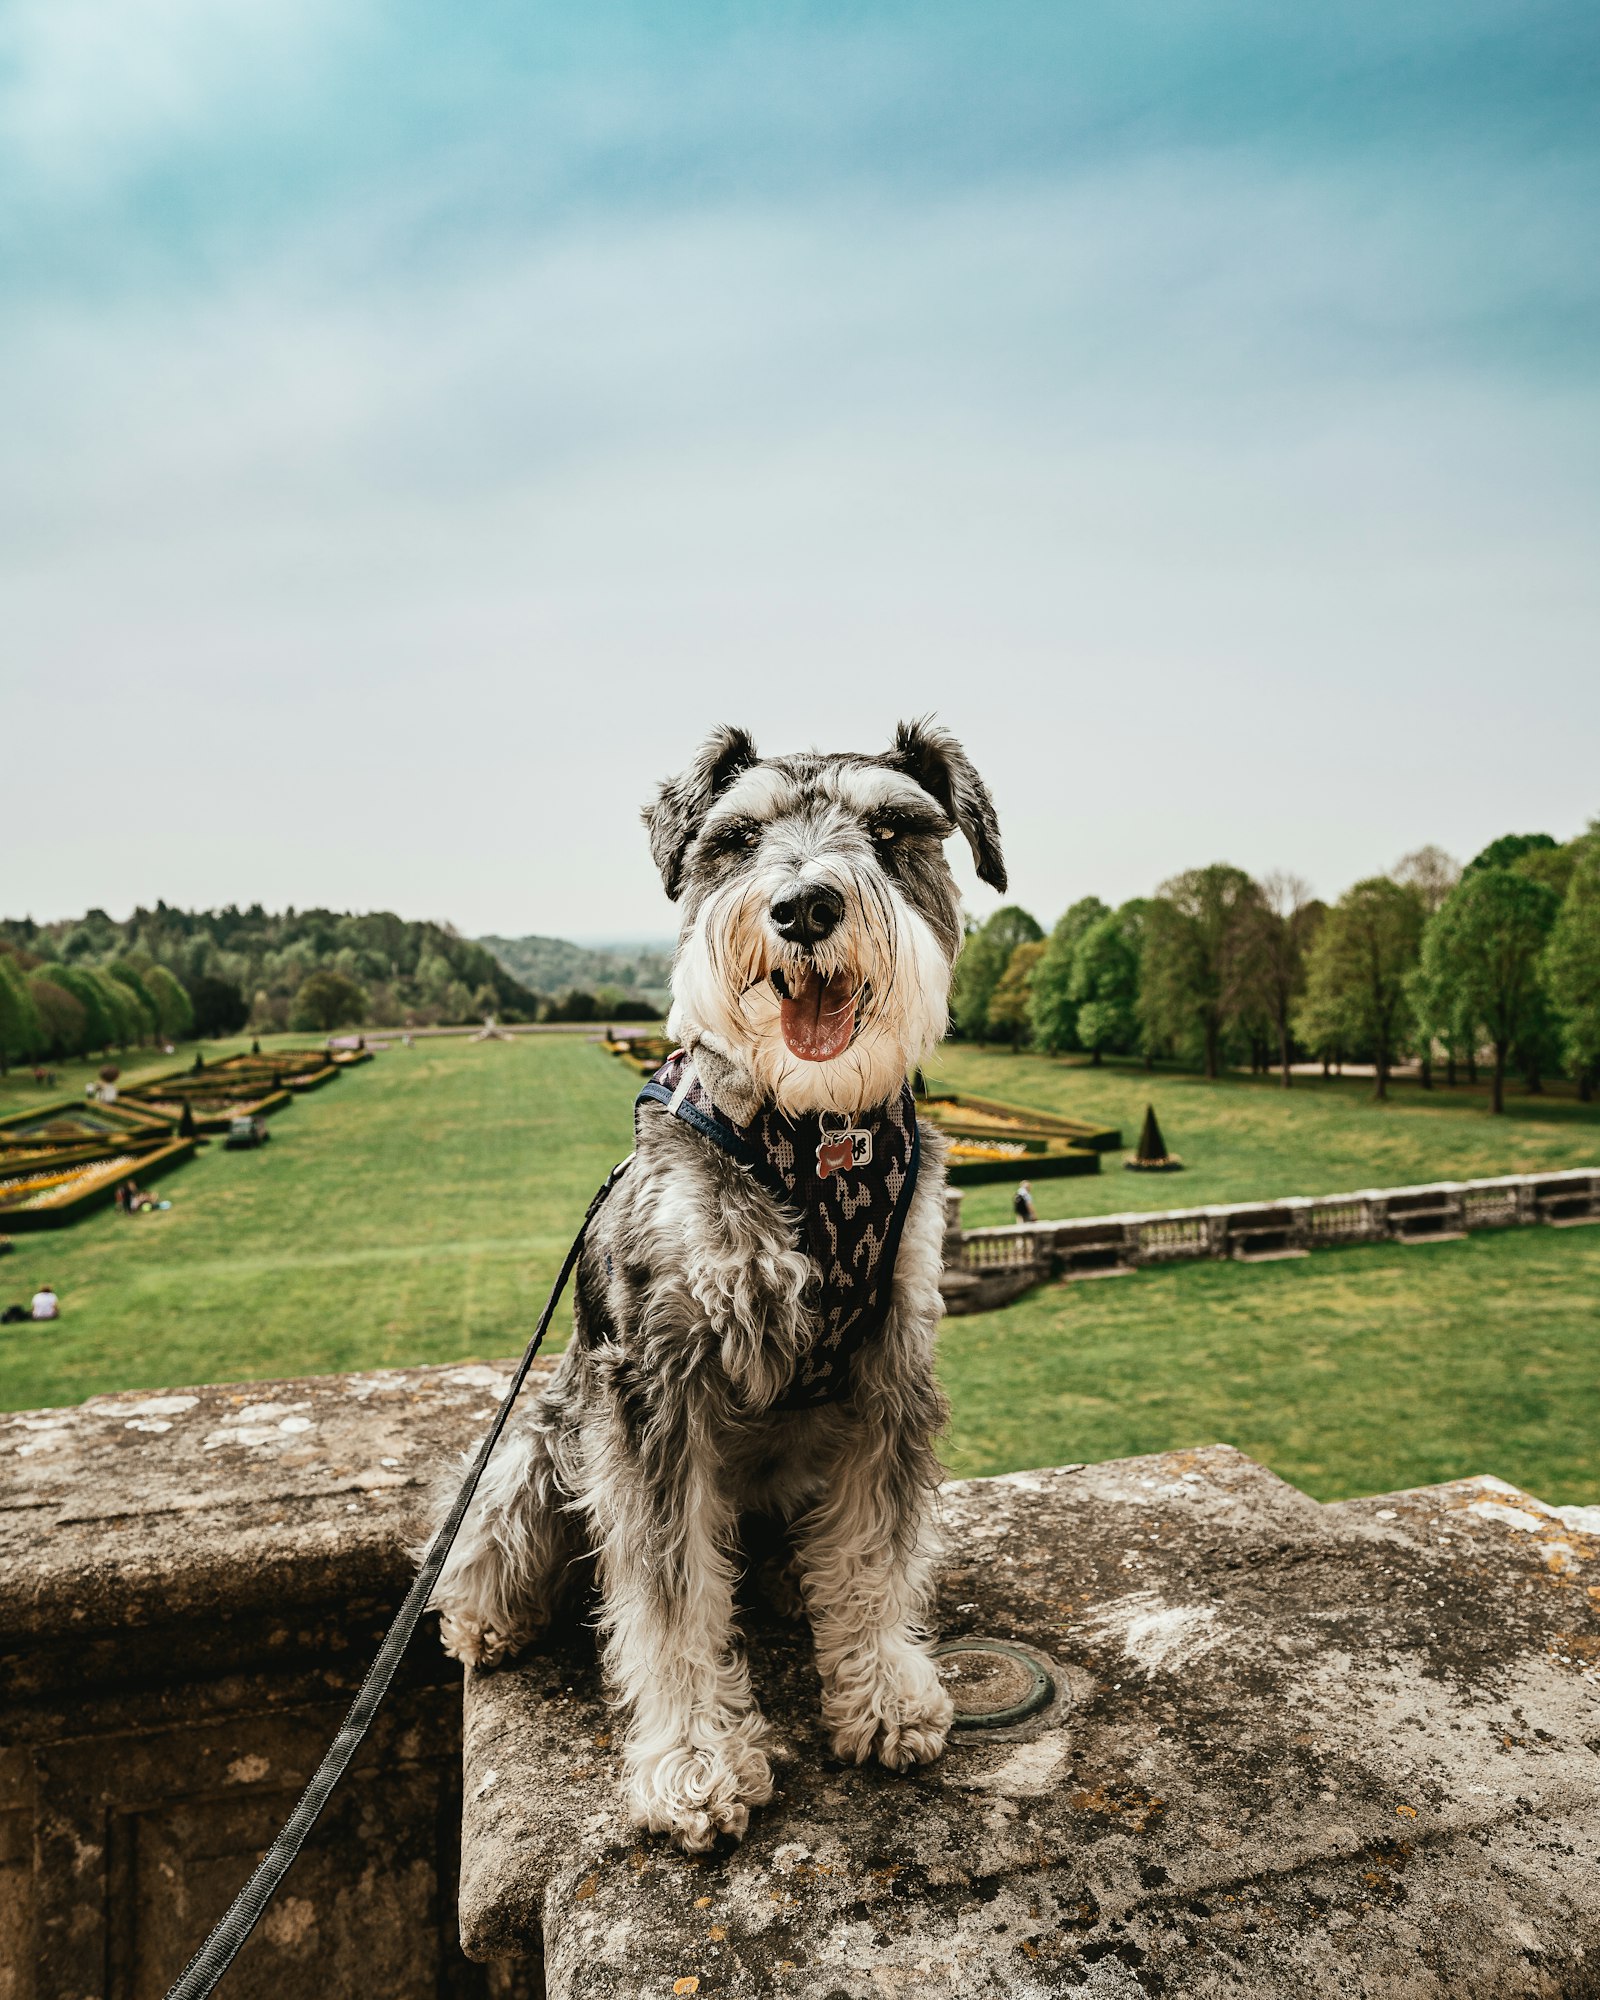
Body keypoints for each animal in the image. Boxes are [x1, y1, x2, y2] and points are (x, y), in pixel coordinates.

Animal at [424, 712, 1000, 1848]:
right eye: (735, 839)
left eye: (892, 828)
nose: (805, 905)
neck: (819, 1133)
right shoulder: (657, 1379)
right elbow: (669, 1592)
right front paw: (694, 1761)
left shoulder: (890, 1362)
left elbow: (876, 1548)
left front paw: (880, 1691)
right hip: (539, 1441)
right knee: (493, 1535)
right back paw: (483, 1617)